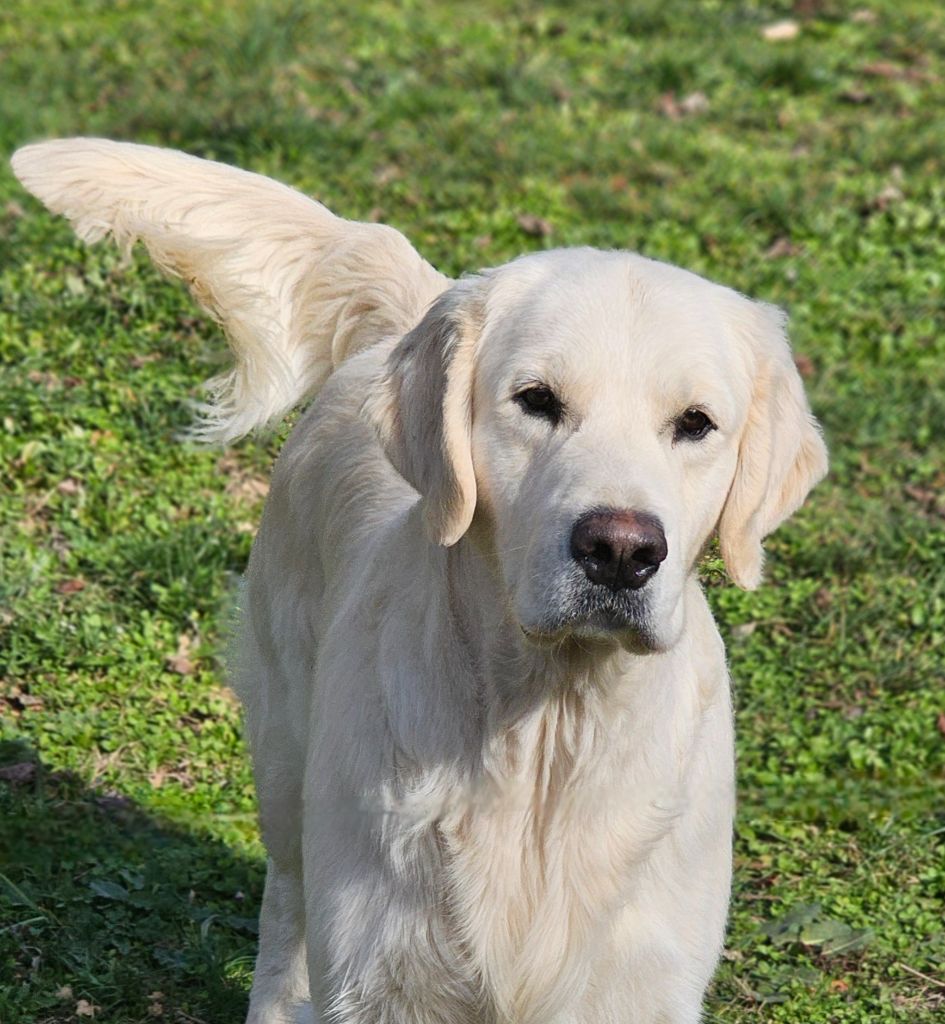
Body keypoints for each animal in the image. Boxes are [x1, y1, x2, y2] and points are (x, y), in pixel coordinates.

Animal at [14, 138, 827, 1024]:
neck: (543, 736)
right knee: (285, 907)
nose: (619, 550)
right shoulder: (383, 971)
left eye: (695, 424)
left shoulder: (638, 982)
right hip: (288, 759)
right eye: (535, 401)